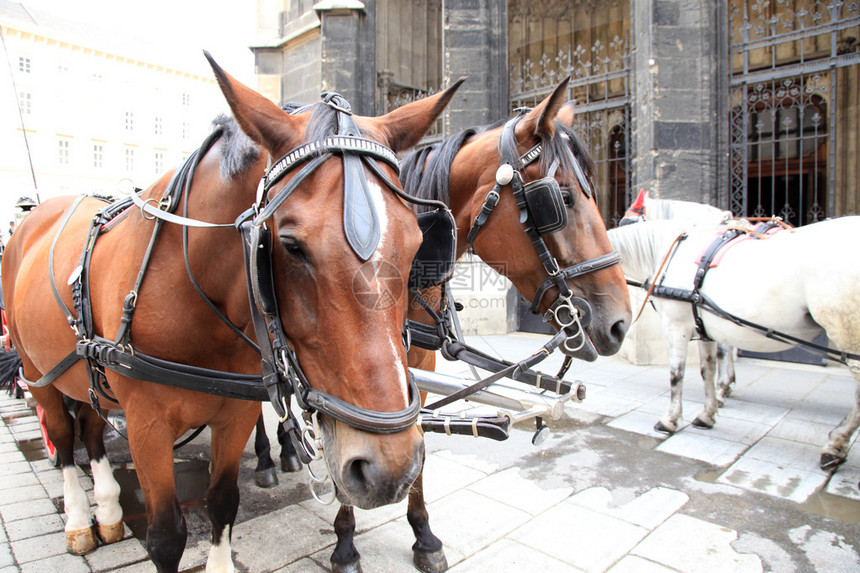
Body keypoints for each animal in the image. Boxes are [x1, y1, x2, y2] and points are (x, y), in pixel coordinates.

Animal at [0, 54, 464, 572]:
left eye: (420, 242)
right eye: (289, 245)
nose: (391, 468)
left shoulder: (236, 411)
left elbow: (222, 502)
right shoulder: (145, 424)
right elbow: (166, 536)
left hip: (85, 371)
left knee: (92, 427)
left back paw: (108, 511)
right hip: (37, 369)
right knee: (64, 436)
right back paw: (81, 520)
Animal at [320, 78, 628, 568]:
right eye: (559, 199)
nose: (620, 322)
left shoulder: (417, 373)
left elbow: (419, 447)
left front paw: (424, 535)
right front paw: (346, 542)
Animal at [608, 216, 860, 470]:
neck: (666, 252)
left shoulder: (676, 326)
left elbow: (676, 374)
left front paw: (670, 419)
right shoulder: (704, 327)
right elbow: (707, 370)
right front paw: (707, 414)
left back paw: (835, 444)